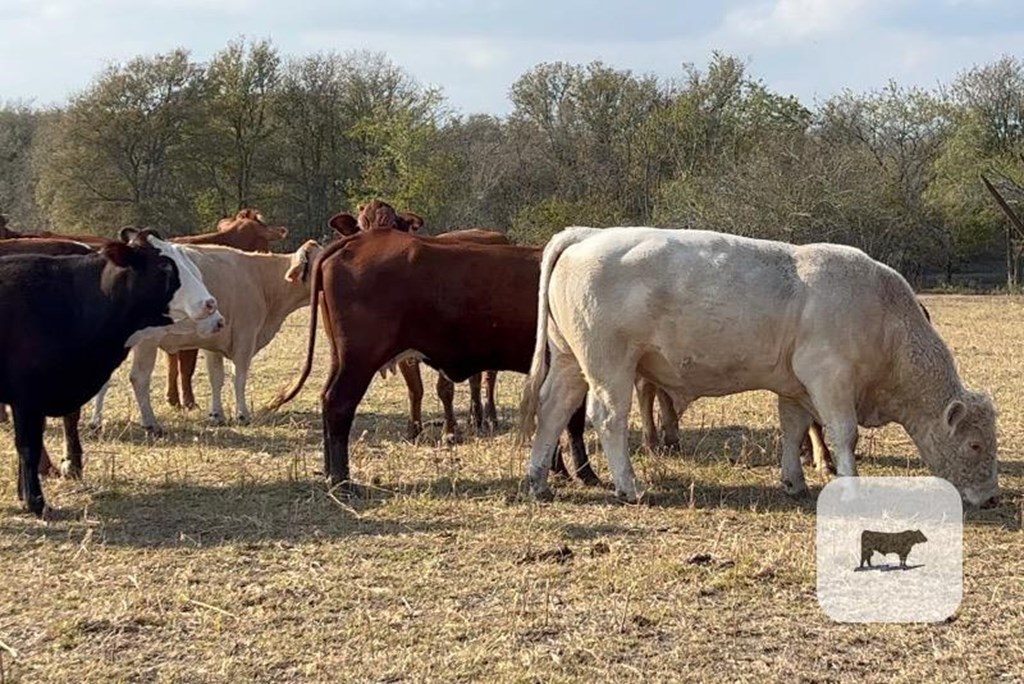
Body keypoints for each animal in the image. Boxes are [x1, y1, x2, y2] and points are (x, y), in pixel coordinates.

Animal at [91, 241, 319, 432]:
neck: (261, 279)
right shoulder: (245, 337)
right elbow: (239, 377)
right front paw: (242, 415)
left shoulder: (214, 342)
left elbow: (216, 377)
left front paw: (217, 415)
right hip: (147, 341)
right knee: (139, 377)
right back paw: (150, 423)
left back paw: (97, 422)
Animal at [520, 228, 999, 507]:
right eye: (975, 445)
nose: (993, 499)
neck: (884, 318)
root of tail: (585, 234)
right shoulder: (830, 378)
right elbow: (843, 434)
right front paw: (850, 486)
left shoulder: (796, 386)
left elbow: (793, 429)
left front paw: (794, 481)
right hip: (610, 365)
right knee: (608, 418)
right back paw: (629, 486)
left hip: (570, 362)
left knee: (553, 409)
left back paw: (538, 479)